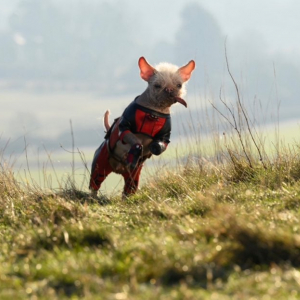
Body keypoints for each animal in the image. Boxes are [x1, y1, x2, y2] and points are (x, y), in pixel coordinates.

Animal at [89, 56, 196, 198]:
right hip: (100, 164)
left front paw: (154, 147)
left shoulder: (164, 136)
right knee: (95, 183)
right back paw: (93, 198)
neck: (153, 112)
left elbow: (160, 144)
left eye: (179, 85)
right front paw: (136, 151)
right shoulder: (125, 128)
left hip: (133, 177)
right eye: (157, 85)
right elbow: (136, 142)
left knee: (129, 189)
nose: (169, 89)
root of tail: (118, 169)